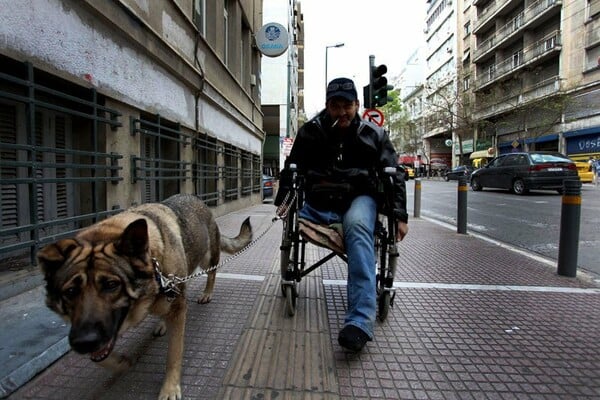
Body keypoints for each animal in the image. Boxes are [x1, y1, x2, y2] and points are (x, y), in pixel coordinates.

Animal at [37, 195, 253, 400]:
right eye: (71, 291)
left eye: (111, 285)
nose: (84, 342)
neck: (153, 263)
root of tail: (198, 201)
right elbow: (104, 356)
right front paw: (120, 363)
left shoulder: (175, 307)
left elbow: (174, 354)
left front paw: (170, 388)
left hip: (207, 257)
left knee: (212, 272)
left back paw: (207, 293)